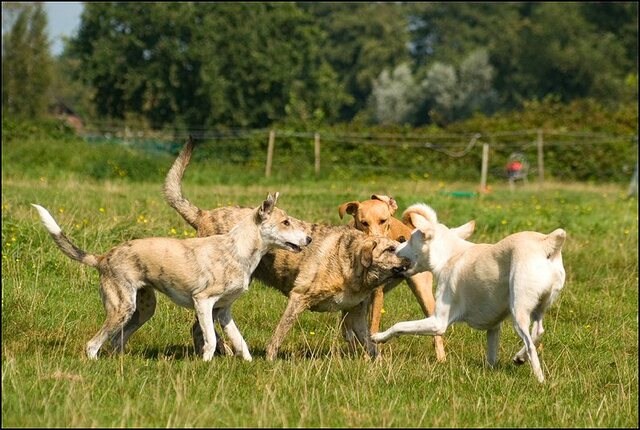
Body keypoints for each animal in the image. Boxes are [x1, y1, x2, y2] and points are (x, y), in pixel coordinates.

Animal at [32, 193, 312, 362]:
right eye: (285, 222)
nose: (309, 239)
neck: (237, 249)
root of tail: (102, 258)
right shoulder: (203, 302)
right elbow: (211, 340)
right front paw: (205, 365)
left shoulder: (223, 311)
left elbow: (240, 342)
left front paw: (251, 364)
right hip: (122, 307)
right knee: (93, 344)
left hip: (143, 309)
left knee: (115, 341)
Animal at [165, 139, 412, 360]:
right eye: (391, 250)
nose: (411, 259)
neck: (352, 261)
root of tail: (203, 215)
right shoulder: (299, 298)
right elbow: (279, 335)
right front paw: (270, 361)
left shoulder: (357, 314)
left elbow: (370, 343)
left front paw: (378, 365)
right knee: (199, 327)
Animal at [338, 197, 448, 362]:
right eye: (364, 223)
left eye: (383, 221)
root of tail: (409, 228)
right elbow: (349, 325)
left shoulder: (377, 295)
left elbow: (371, 328)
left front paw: (368, 357)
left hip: (423, 293)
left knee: (436, 330)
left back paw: (441, 358)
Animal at [372, 204, 568, 382]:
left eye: (411, 239)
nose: (397, 244)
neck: (449, 254)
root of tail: (547, 243)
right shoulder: (493, 327)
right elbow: (492, 354)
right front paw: (490, 372)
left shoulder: (438, 323)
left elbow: (399, 326)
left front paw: (378, 337)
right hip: (539, 307)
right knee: (538, 331)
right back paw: (519, 357)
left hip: (518, 310)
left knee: (531, 345)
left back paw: (540, 380)